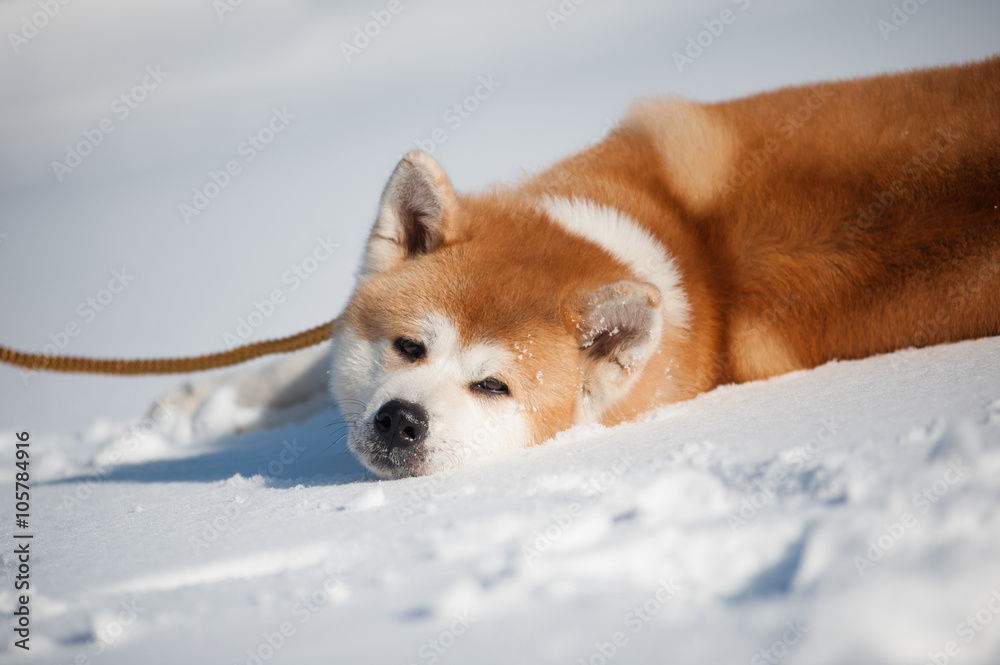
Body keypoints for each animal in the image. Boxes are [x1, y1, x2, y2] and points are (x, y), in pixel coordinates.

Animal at [166, 53, 1000, 478]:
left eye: (493, 385)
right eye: (408, 347)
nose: (401, 418)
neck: (696, 250)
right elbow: (299, 362)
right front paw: (203, 402)